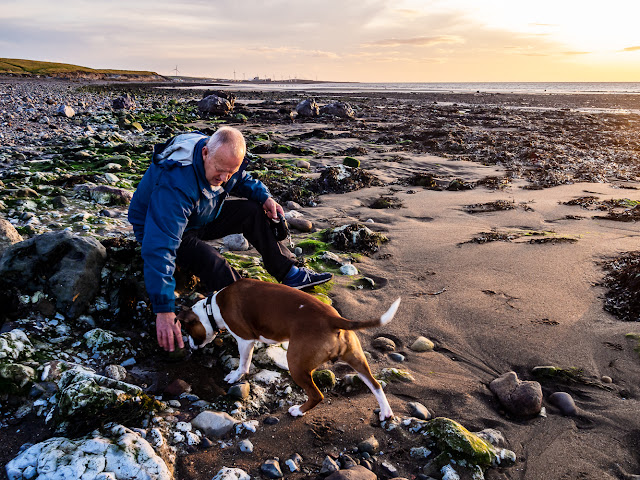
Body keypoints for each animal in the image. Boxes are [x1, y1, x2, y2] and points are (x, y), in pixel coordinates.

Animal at [178, 278, 400, 420]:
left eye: (187, 330)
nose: (190, 346)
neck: (213, 307)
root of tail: (333, 318)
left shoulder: (245, 339)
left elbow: (243, 362)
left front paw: (235, 376)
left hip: (296, 364)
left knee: (317, 395)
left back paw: (298, 411)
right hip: (357, 359)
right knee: (375, 385)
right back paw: (386, 412)